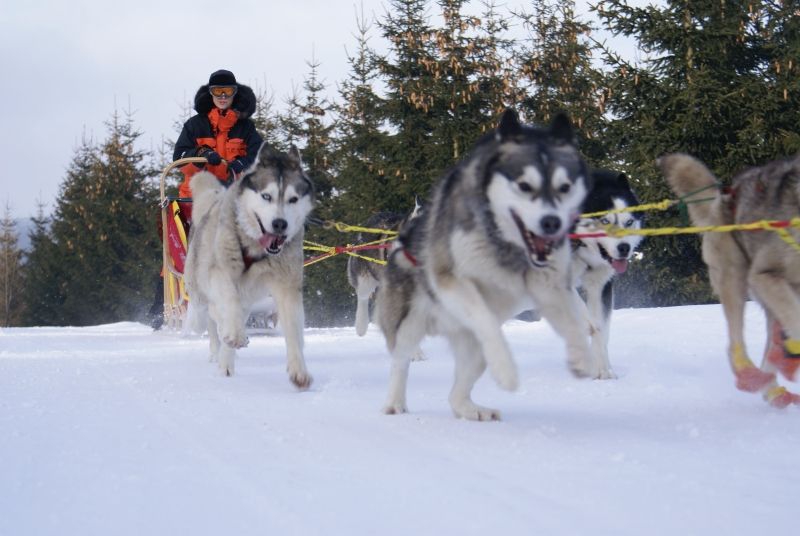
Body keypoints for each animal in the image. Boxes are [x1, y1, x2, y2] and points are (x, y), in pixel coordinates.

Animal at [185, 142, 316, 388]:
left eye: (293, 199)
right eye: (266, 196)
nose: (279, 224)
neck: (255, 249)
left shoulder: (286, 286)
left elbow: (293, 331)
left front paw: (299, 370)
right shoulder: (220, 273)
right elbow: (230, 300)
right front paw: (234, 334)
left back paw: (226, 365)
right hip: (199, 291)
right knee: (210, 318)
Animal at [378, 109, 596, 418]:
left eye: (564, 187)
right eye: (524, 185)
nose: (551, 222)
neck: (507, 247)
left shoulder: (550, 284)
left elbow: (573, 318)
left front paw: (581, 355)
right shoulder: (451, 279)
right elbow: (486, 319)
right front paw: (507, 371)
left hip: (473, 351)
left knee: (456, 393)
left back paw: (471, 409)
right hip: (410, 323)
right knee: (401, 362)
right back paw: (395, 403)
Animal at [572, 170, 648, 378]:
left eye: (629, 222)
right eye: (605, 221)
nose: (624, 248)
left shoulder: (601, 286)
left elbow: (602, 329)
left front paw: (603, 370)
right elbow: (587, 317)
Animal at [660, 152, 796, 406]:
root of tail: (723, 195)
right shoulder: (765, 274)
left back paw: (775, 386)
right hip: (735, 275)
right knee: (736, 340)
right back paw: (751, 376)